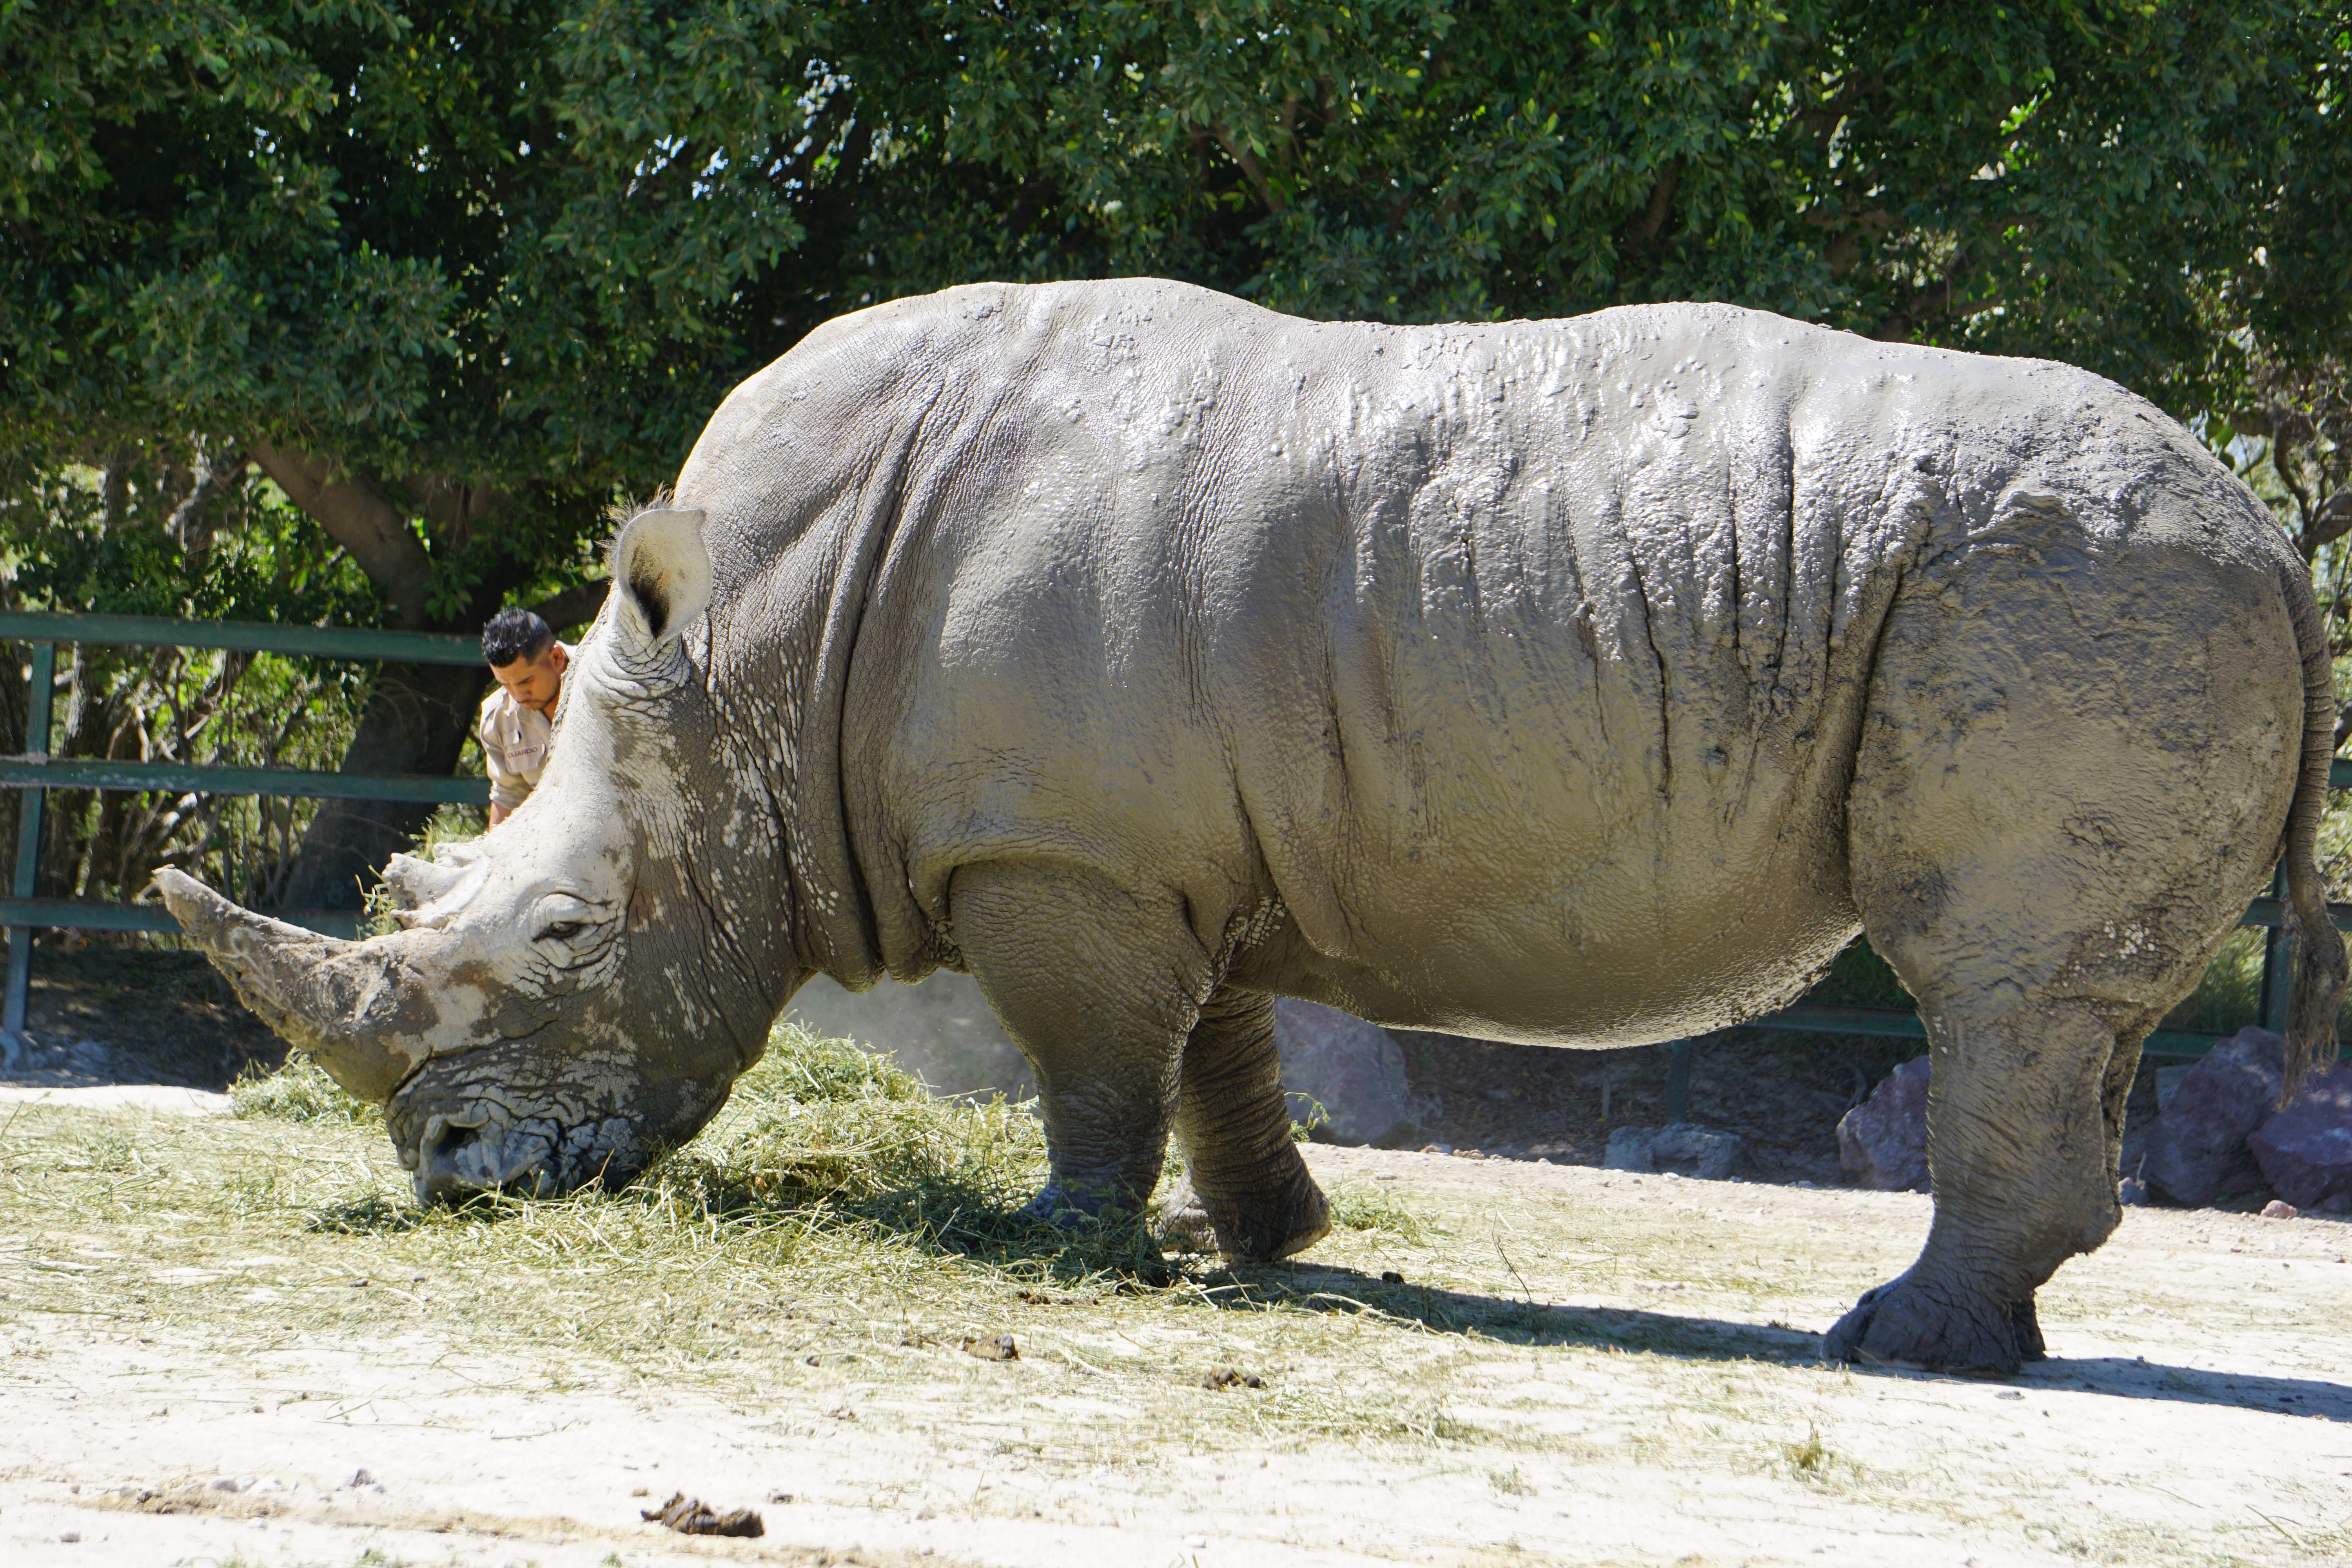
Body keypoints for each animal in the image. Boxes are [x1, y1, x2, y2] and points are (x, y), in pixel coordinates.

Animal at [158, 278, 2342, 1375]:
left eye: (566, 935)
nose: (449, 1171)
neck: (753, 657)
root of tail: (2272, 532)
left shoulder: (1058, 847)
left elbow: (1093, 1059)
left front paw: (1054, 1237)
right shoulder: (1155, 842)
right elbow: (1213, 1044)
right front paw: (1269, 1238)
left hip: (2071, 588)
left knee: (1995, 978)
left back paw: (1896, 1344)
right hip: (2102, 589)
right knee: (2050, 1002)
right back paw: (1964, 1333)